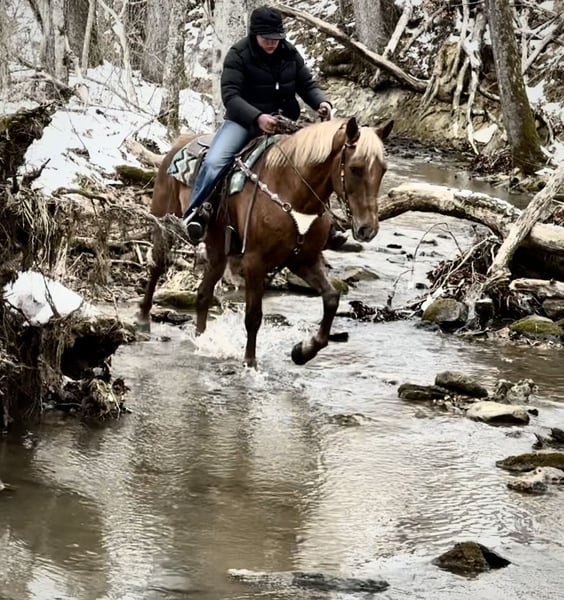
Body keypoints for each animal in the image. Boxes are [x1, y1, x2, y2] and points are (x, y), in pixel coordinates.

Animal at [138, 117, 393, 368]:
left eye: (383, 170)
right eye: (355, 168)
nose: (367, 229)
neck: (293, 192)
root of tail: (180, 141)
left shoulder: (304, 260)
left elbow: (331, 299)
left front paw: (303, 351)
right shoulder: (255, 262)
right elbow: (253, 316)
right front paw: (250, 364)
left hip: (218, 248)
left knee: (203, 294)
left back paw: (202, 340)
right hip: (164, 223)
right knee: (157, 266)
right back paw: (142, 321)